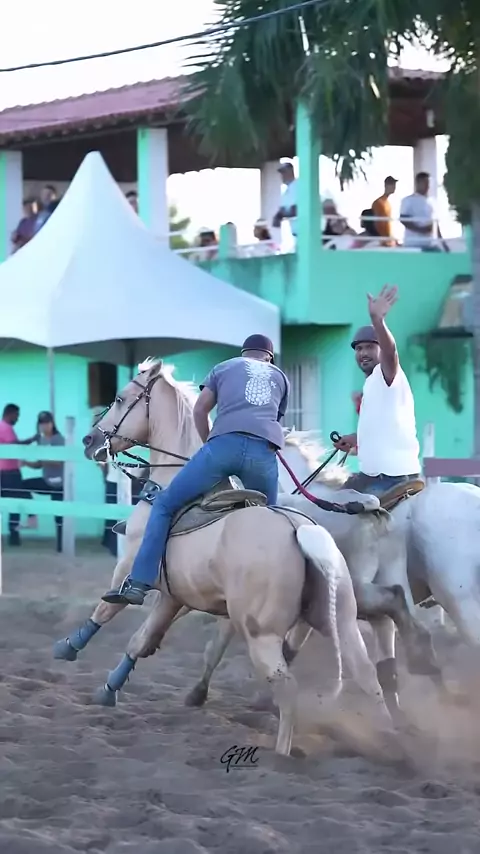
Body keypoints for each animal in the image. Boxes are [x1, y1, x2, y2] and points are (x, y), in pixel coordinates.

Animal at [55, 360, 395, 755]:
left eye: (121, 398)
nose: (90, 441)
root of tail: (300, 531)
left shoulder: (129, 569)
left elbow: (107, 609)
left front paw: (68, 646)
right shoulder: (174, 597)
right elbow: (141, 640)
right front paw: (109, 689)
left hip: (262, 635)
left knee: (288, 686)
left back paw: (281, 755)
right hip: (340, 623)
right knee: (368, 675)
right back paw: (393, 740)